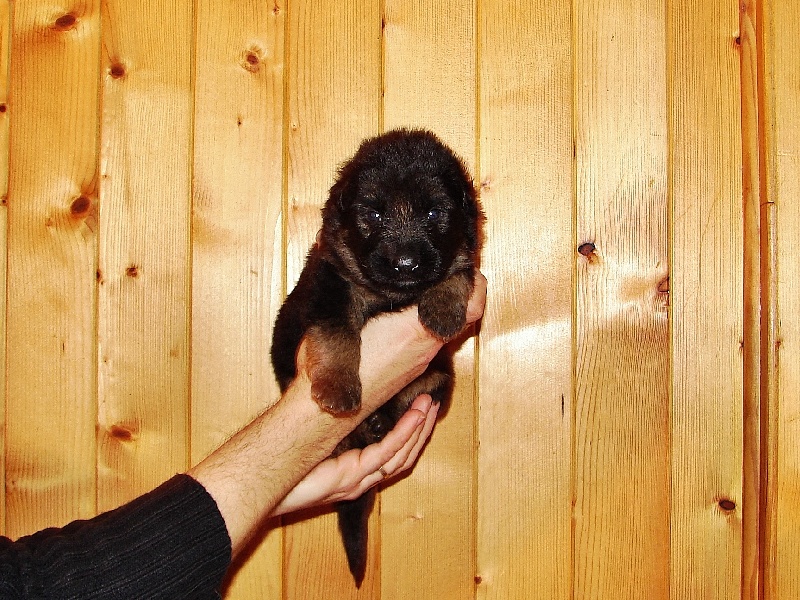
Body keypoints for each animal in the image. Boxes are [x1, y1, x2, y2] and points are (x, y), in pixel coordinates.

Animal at [270, 128, 481, 587]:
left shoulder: (462, 261)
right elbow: (337, 335)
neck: (392, 296)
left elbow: (457, 273)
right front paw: (337, 389)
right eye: (374, 214)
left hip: (437, 380)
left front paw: (443, 311)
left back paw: (381, 422)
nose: (405, 263)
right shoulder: (329, 284)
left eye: (435, 212)